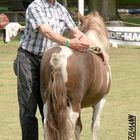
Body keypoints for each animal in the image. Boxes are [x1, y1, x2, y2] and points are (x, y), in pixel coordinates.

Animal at [40, 12, 111, 140]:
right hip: (73, 104)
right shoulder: (101, 100)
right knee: (68, 128)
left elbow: (79, 127)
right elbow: (95, 126)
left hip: (47, 102)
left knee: (46, 125)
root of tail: (58, 57)